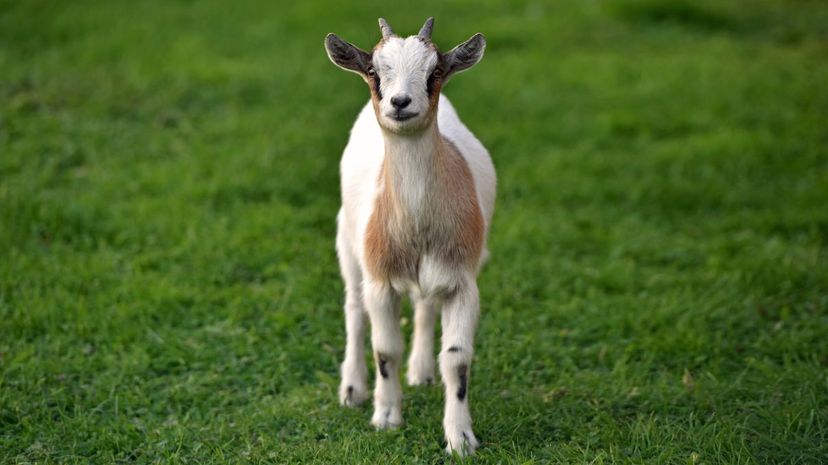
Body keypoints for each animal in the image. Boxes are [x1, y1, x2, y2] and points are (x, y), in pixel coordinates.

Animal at [324, 17, 495, 456]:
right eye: (373, 71)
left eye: (434, 72)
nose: (400, 102)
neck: (416, 228)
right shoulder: (381, 280)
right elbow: (385, 350)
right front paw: (386, 417)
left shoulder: (462, 280)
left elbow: (457, 358)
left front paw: (460, 438)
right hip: (348, 243)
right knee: (354, 309)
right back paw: (352, 389)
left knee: (424, 306)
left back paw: (421, 371)